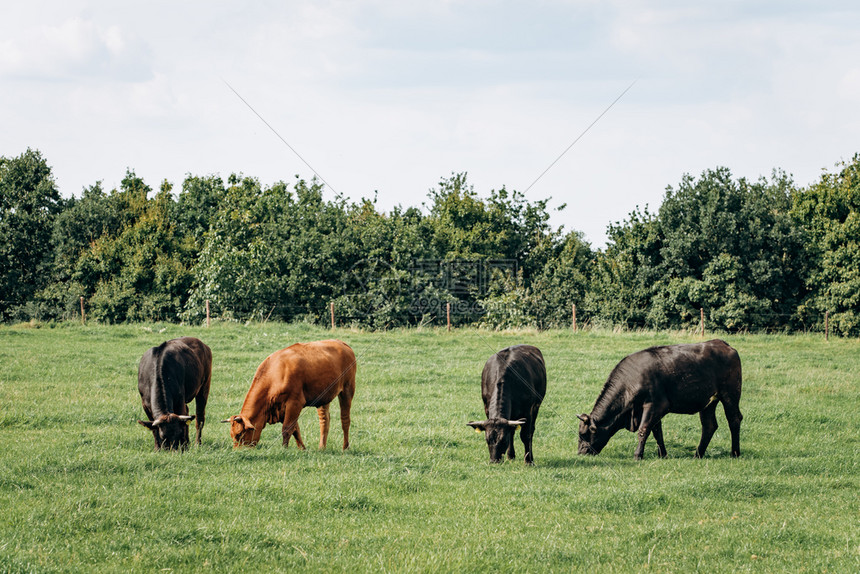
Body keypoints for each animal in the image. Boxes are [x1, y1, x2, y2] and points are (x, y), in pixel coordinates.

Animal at [223, 342, 358, 450]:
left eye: (239, 434)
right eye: (232, 435)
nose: (237, 451)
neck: (275, 373)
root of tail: (343, 344)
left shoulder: (295, 402)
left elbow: (287, 429)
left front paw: (284, 449)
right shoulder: (283, 408)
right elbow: (295, 430)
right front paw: (302, 448)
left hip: (347, 390)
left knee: (345, 420)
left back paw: (345, 447)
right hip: (323, 397)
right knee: (324, 421)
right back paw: (322, 447)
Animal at [576, 340, 744, 462]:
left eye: (583, 434)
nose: (580, 452)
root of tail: (722, 344)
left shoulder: (655, 405)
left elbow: (644, 430)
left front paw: (638, 455)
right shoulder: (652, 410)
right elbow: (657, 432)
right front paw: (662, 454)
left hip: (730, 394)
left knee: (734, 419)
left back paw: (735, 453)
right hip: (708, 403)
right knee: (709, 426)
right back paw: (698, 454)